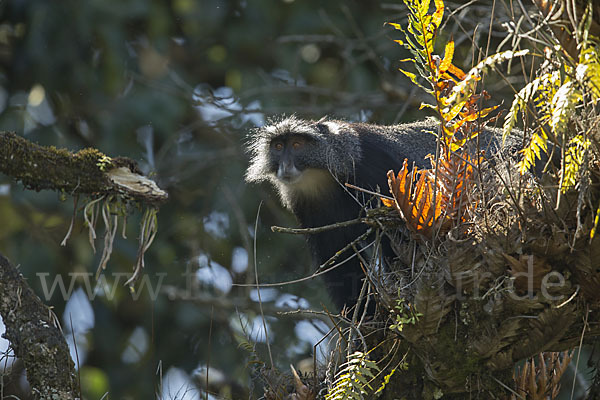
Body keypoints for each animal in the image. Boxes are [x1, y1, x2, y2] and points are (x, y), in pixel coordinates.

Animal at [246, 115, 512, 312]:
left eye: (297, 145)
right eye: (278, 147)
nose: (285, 165)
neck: (326, 180)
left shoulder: (377, 173)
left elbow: (399, 238)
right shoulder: (312, 213)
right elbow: (340, 264)